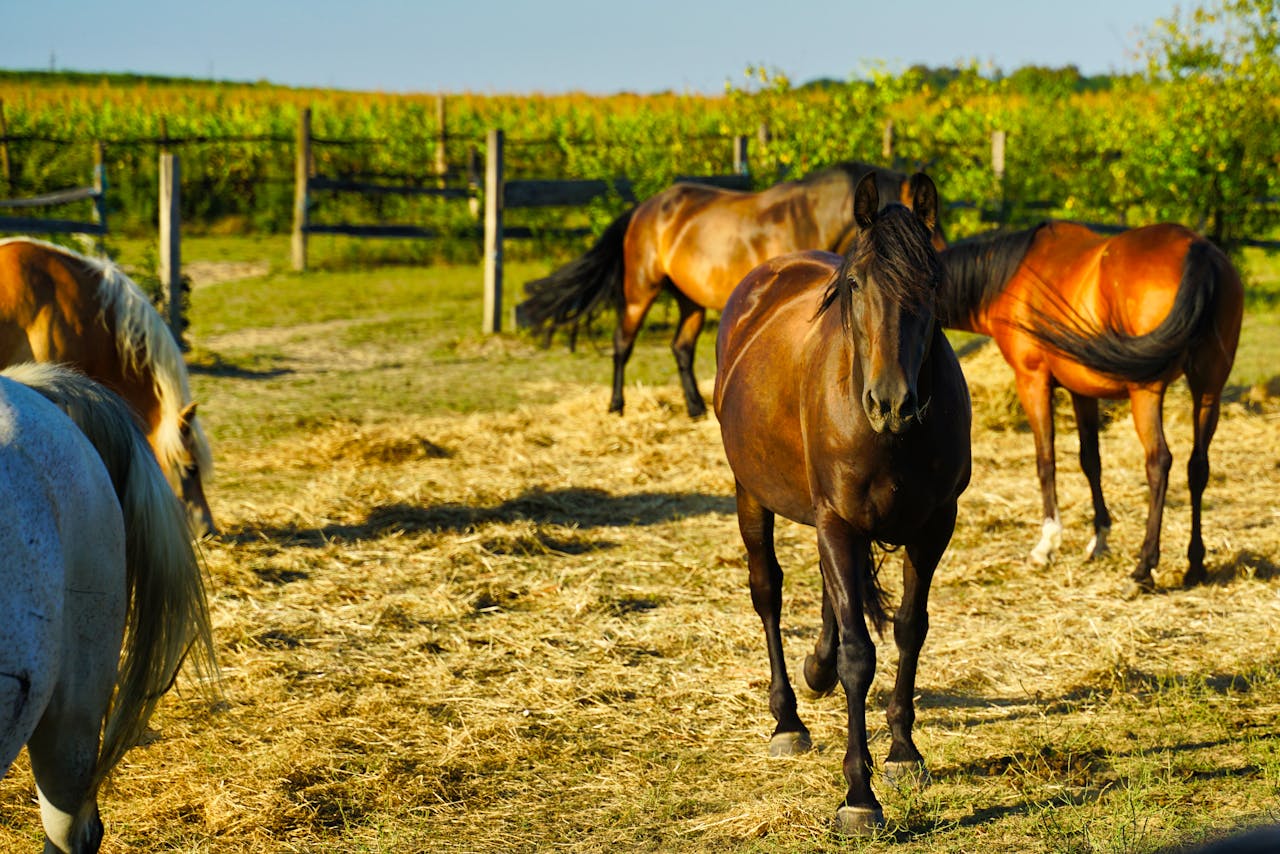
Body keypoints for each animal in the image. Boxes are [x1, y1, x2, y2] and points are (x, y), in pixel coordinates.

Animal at [516, 161, 948, 419]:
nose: (944, 254)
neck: (806, 217)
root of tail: (644, 208)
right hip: (641, 291)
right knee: (623, 343)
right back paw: (616, 405)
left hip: (690, 301)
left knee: (681, 348)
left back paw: (695, 407)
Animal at [713, 173, 971, 834]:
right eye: (856, 285)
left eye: (932, 281)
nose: (891, 402)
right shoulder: (838, 521)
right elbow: (860, 653)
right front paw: (859, 794)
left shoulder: (934, 526)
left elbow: (909, 628)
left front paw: (903, 751)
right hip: (753, 494)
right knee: (768, 592)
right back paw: (787, 719)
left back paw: (816, 670)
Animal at [938, 221, 1244, 591]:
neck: (1009, 277)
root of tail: (1196, 249)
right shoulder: (1080, 390)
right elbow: (1091, 461)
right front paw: (1100, 540)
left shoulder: (1032, 380)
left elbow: (1046, 460)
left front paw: (1047, 544)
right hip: (1209, 388)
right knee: (1197, 466)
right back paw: (1195, 565)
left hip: (1147, 391)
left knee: (1159, 462)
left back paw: (1143, 568)